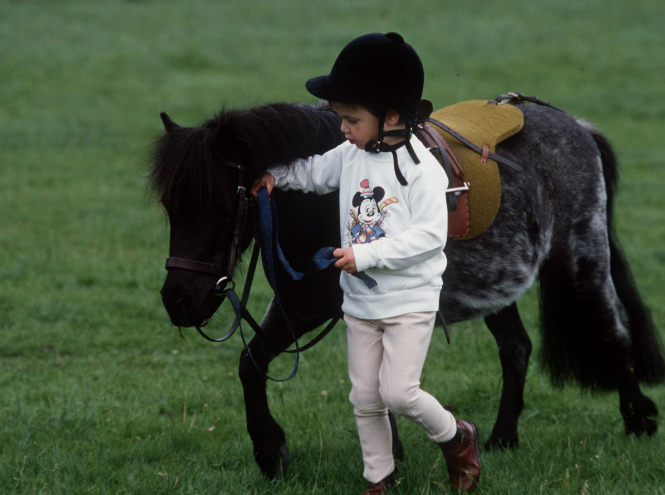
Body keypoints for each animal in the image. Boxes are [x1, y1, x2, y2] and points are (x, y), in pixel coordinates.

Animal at [150, 101, 664, 480]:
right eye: (171, 207)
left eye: (220, 204)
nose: (179, 301)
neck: (317, 206)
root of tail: (577, 126)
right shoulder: (319, 307)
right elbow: (297, 371)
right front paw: (387, 457)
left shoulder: (307, 306)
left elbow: (252, 361)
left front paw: (271, 452)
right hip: (496, 282)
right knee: (517, 348)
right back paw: (502, 437)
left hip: (581, 256)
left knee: (612, 331)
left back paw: (639, 419)